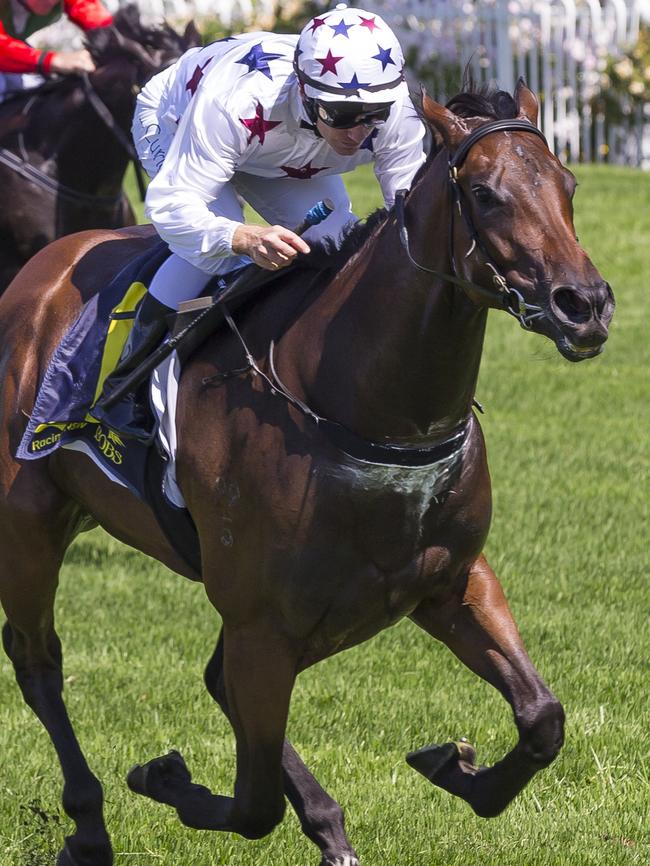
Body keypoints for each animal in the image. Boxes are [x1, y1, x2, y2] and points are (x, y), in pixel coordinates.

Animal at [0, 81, 612, 864]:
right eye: (485, 193)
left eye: (567, 184)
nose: (585, 305)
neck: (369, 412)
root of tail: (37, 277)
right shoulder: (262, 623)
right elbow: (252, 804)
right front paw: (165, 778)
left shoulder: (451, 581)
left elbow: (543, 718)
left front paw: (453, 766)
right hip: (28, 528)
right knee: (38, 660)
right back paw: (87, 823)